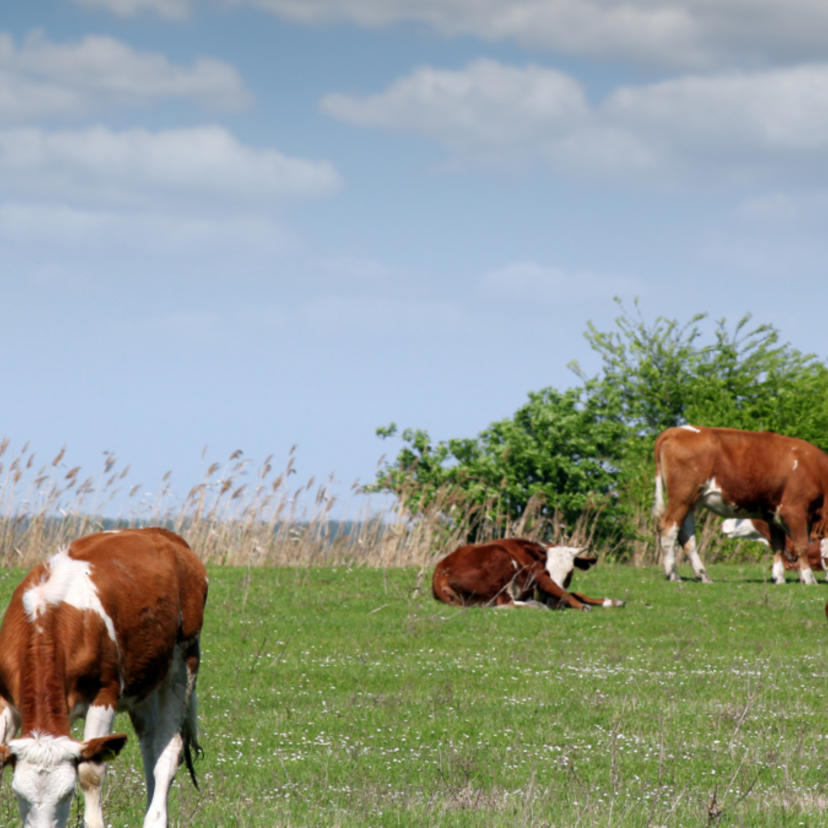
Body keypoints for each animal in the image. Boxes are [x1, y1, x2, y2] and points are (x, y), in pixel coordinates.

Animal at [0, 528, 210, 828]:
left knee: (168, 749)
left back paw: (155, 818)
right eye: (18, 793)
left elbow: (91, 772)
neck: (46, 621)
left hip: (184, 663)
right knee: (150, 749)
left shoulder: (104, 695)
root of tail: (161, 533)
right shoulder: (6, 699)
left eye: (68, 794)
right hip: (144, 682)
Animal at [430, 540, 624, 612]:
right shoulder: (539, 577)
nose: (554, 603)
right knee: (505, 603)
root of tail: (440, 570)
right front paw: (582, 606)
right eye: (547, 571)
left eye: (570, 572)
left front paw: (611, 601)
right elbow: (566, 593)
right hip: (501, 561)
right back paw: (536, 605)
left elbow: (577, 593)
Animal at [652, 426, 828, 584]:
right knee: (668, 529)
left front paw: (779, 578)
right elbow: (801, 545)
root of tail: (676, 430)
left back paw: (703, 575)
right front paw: (809, 578)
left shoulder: (773, 515)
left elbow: (778, 546)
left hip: (691, 502)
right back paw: (673, 574)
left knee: (686, 537)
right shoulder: (795, 510)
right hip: (682, 497)